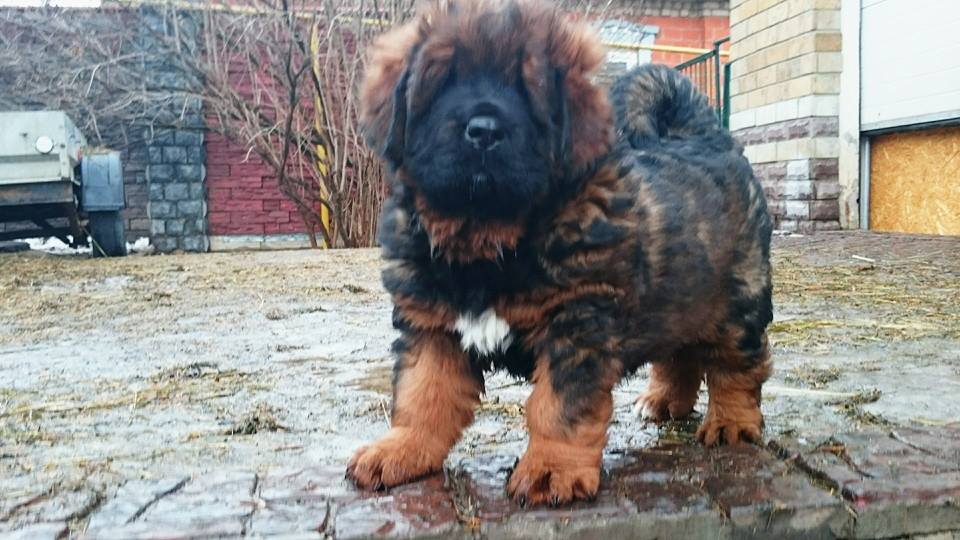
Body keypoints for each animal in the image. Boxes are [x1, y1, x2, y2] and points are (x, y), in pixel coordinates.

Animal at [347, 0, 773, 506]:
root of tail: (707, 137)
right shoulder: (432, 326)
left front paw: (552, 470)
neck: (489, 241)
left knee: (738, 365)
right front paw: (400, 450)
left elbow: (558, 409)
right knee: (680, 353)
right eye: (444, 81)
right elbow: (422, 395)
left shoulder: (575, 327)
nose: (483, 130)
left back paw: (731, 423)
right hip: (680, 295)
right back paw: (664, 401)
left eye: (527, 90)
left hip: (737, 300)